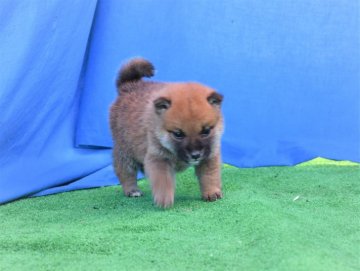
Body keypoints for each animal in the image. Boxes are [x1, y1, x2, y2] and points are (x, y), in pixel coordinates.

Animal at [109, 58, 224, 208]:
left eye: (206, 131)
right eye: (178, 134)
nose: (195, 155)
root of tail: (127, 86)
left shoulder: (210, 156)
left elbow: (209, 176)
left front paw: (212, 192)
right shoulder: (159, 158)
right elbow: (163, 181)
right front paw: (164, 199)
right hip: (125, 152)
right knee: (125, 172)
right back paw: (132, 190)